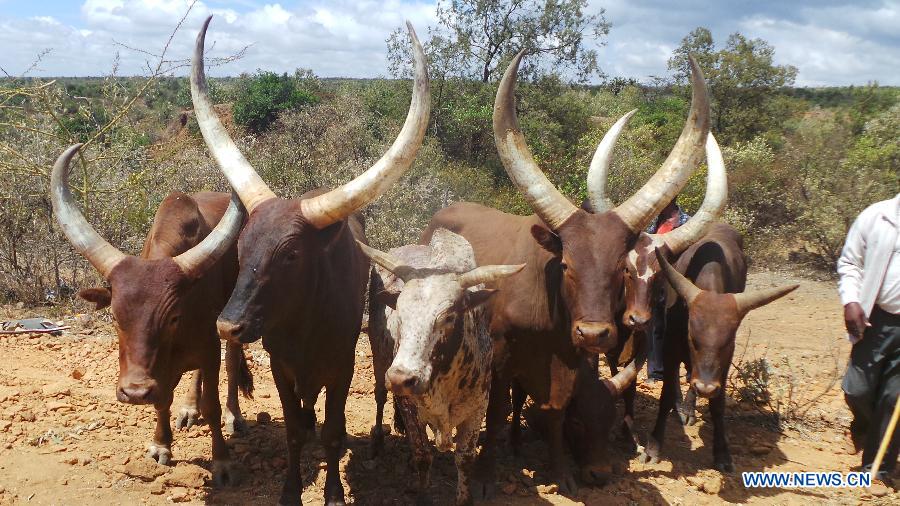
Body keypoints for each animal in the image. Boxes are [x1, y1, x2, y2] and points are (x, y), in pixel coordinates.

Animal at [52, 144, 250, 484]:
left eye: (172, 318)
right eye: (115, 317)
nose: (134, 392)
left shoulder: (210, 346)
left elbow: (211, 402)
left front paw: (222, 461)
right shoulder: (161, 370)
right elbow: (162, 400)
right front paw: (161, 445)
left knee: (233, 360)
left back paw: (233, 415)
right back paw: (189, 408)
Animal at [189, 16, 428, 506]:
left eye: (292, 254)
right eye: (240, 247)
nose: (228, 326)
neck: (304, 325)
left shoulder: (341, 366)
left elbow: (334, 433)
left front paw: (333, 492)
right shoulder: (282, 367)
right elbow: (294, 431)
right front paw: (290, 490)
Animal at [422, 51, 712, 494]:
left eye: (621, 268)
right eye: (566, 264)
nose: (593, 333)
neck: (546, 313)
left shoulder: (568, 361)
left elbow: (554, 408)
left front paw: (560, 473)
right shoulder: (500, 358)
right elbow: (496, 411)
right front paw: (487, 475)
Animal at [644, 229, 800, 470]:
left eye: (727, 342)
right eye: (692, 338)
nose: (706, 388)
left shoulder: (724, 363)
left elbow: (718, 405)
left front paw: (722, 454)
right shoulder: (671, 347)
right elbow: (666, 396)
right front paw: (653, 448)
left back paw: (689, 408)